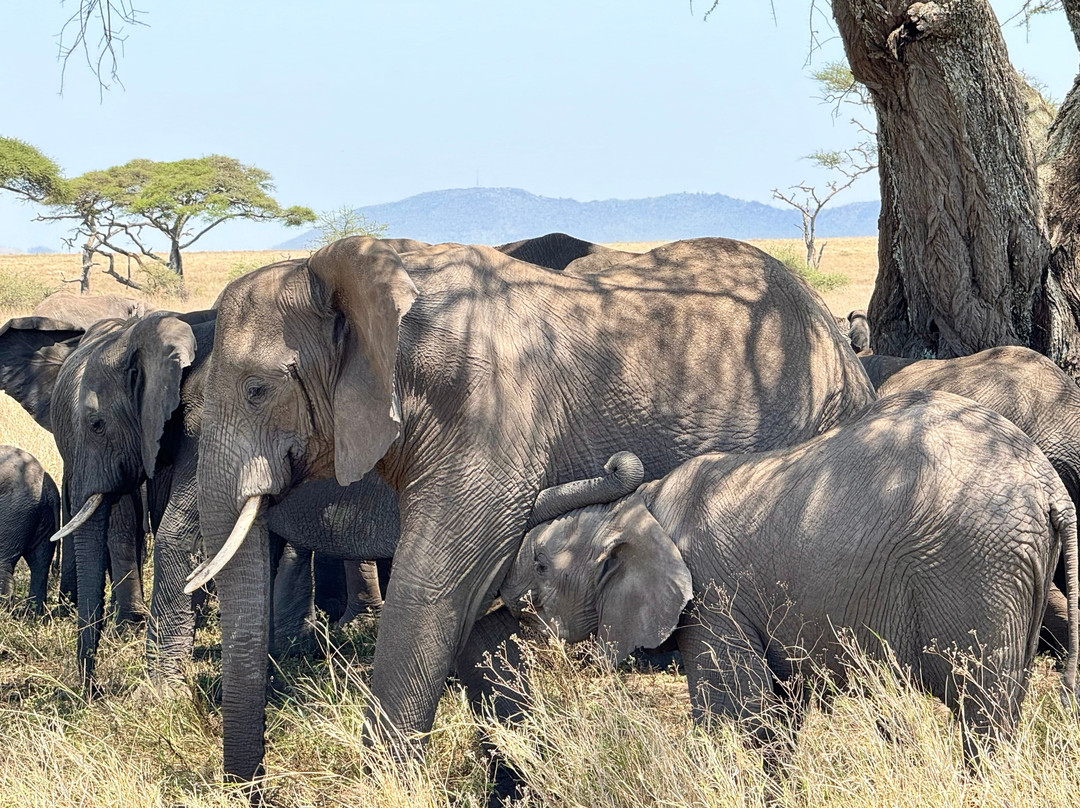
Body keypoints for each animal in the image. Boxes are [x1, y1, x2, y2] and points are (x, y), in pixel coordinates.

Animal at [503, 388, 1080, 760]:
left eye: (540, 564)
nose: (507, 598)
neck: (639, 505)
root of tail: (1049, 486)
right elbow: (777, 717)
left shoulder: (714, 601)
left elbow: (735, 712)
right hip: (1013, 569)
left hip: (977, 567)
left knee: (982, 710)